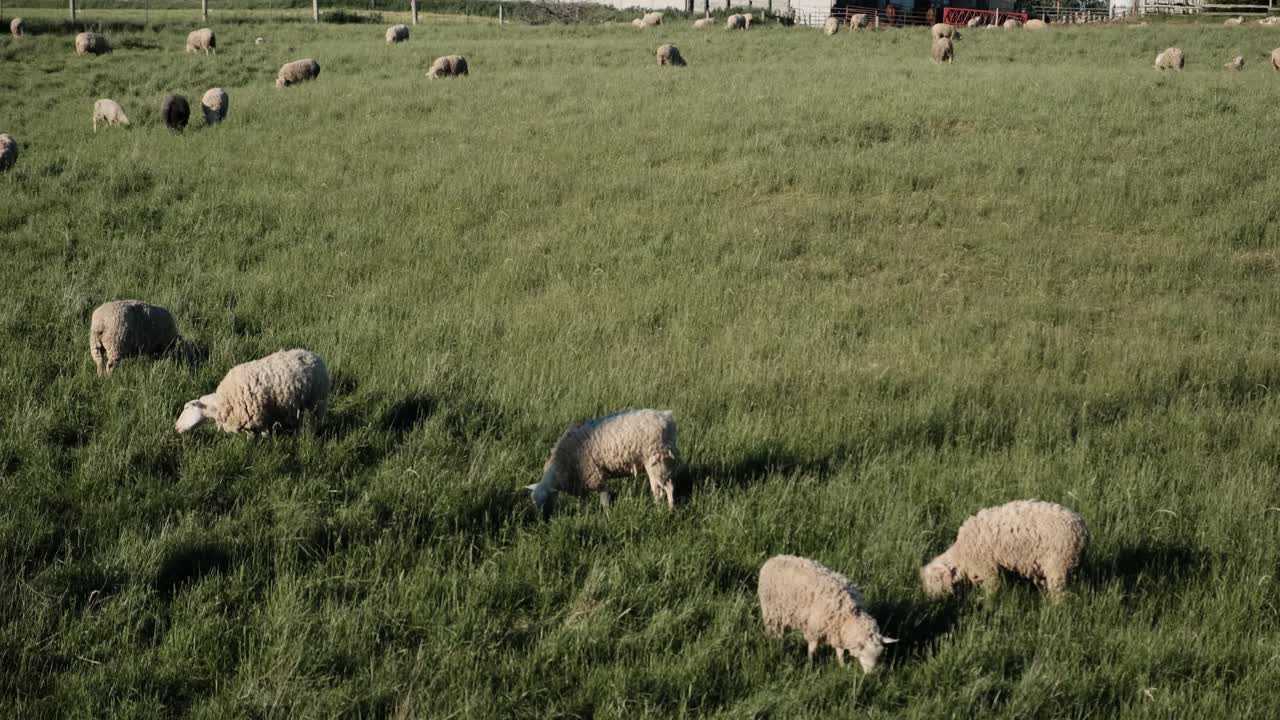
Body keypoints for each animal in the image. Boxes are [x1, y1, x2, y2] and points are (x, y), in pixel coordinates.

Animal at [176, 349, 329, 435]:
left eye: (187, 408)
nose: (176, 427)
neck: (220, 403)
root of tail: (315, 356)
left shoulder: (255, 417)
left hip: (318, 401)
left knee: (317, 419)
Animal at [527, 409, 679, 513]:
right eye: (533, 502)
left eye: (545, 500)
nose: (541, 520)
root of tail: (667, 418)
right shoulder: (581, 480)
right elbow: (583, 499)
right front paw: (583, 512)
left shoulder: (594, 475)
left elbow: (604, 496)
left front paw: (606, 514)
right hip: (662, 462)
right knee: (668, 485)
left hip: (657, 461)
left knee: (664, 489)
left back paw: (665, 509)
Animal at [758, 555, 897, 673]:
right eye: (864, 654)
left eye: (878, 657)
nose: (870, 675)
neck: (848, 614)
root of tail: (773, 559)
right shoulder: (815, 629)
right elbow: (812, 648)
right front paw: (810, 662)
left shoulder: (838, 632)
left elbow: (840, 651)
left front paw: (842, 665)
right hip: (772, 612)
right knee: (774, 631)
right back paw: (776, 645)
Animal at [921, 499, 1088, 602]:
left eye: (935, 581)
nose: (931, 601)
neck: (961, 554)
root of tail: (1082, 530)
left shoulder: (987, 568)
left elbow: (992, 590)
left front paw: (988, 603)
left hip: (1058, 563)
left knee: (1059, 595)